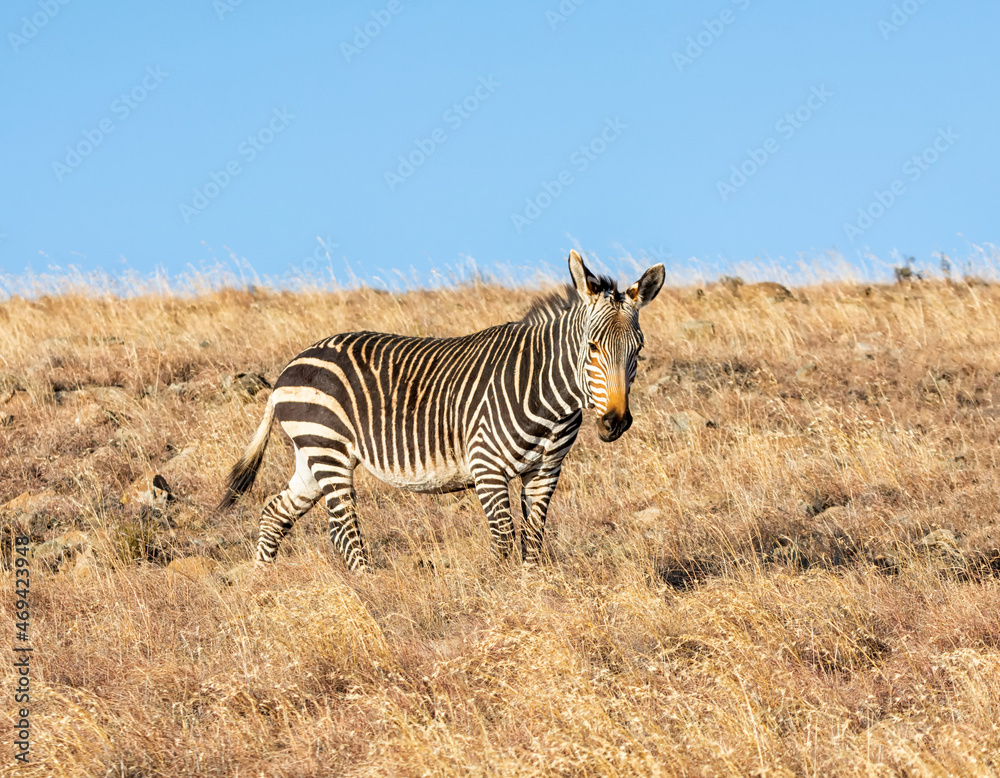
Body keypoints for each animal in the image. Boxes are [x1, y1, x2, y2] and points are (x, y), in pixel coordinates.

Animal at [218, 250, 664, 572]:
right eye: (592, 346)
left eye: (638, 349)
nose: (615, 423)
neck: (548, 394)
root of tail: (290, 365)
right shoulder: (486, 466)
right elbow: (504, 541)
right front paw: (505, 599)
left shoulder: (545, 472)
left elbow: (534, 541)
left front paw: (534, 591)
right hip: (327, 448)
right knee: (343, 531)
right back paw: (367, 588)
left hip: (312, 455)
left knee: (275, 512)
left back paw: (264, 583)